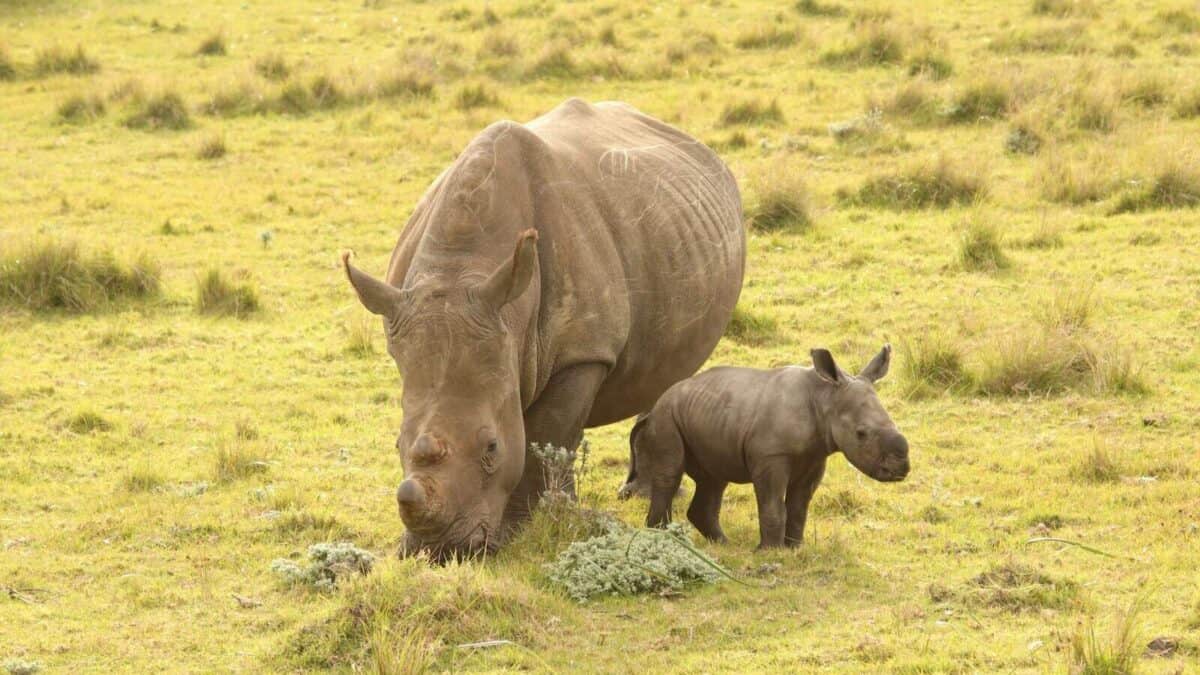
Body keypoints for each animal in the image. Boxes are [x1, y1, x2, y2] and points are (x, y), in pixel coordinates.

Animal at [342, 99, 745, 559]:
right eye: (396, 444)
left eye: (492, 447)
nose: (441, 550)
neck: (459, 271)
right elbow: (554, 438)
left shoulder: (583, 352)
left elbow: (546, 436)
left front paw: (522, 530)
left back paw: (635, 495)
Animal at [620, 346, 910, 549]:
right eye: (861, 434)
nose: (901, 469)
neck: (826, 397)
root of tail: (656, 404)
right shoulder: (771, 457)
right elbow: (773, 505)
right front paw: (770, 551)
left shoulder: (815, 457)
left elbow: (799, 508)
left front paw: (795, 548)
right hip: (667, 417)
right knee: (671, 474)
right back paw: (662, 538)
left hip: (703, 415)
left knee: (713, 480)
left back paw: (725, 545)